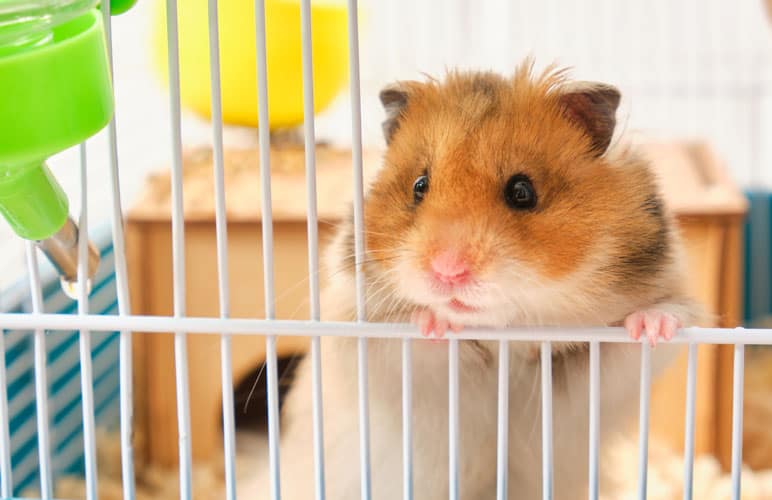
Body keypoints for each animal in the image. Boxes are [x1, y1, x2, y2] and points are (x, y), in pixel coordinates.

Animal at [244, 62, 704, 500]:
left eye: (522, 191)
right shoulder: (370, 339)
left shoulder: (598, 367)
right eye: (419, 185)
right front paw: (435, 322)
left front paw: (651, 327)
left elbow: (647, 327)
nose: (447, 270)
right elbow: (415, 341)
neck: (504, 341)